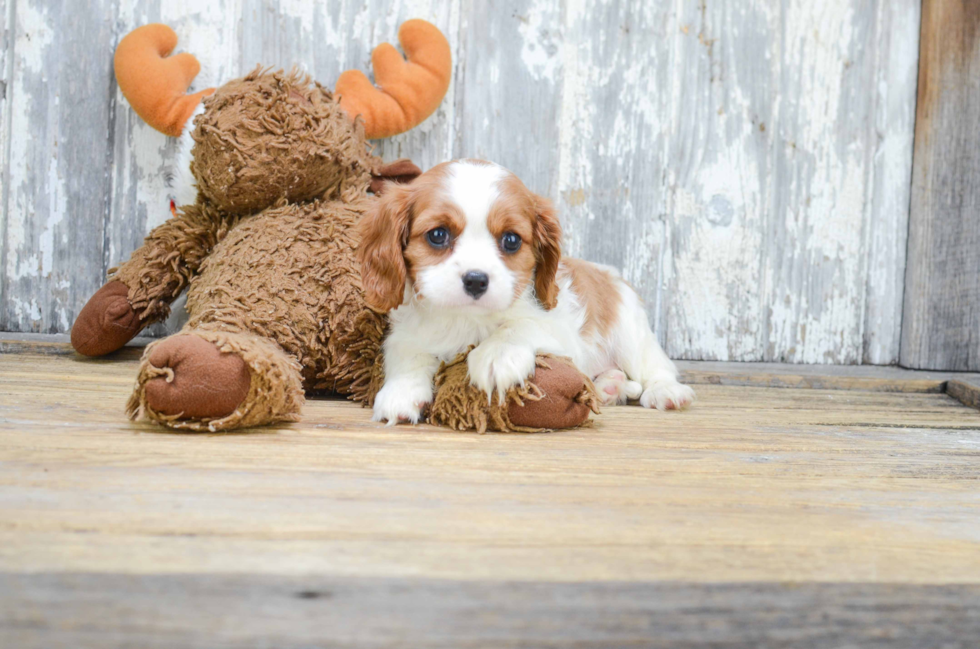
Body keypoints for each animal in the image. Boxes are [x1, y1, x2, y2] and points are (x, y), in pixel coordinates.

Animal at [356, 161, 692, 426]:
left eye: (511, 240)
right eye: (438, 235)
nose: (476, 280)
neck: (465, 319)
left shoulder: (559, 331)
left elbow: (518, 326)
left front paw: (495, 356)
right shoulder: (406, 332)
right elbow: (407, 354)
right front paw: (402, 390)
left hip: (629, 332)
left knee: (657, 367)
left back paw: (664, 391)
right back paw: (610, 386)